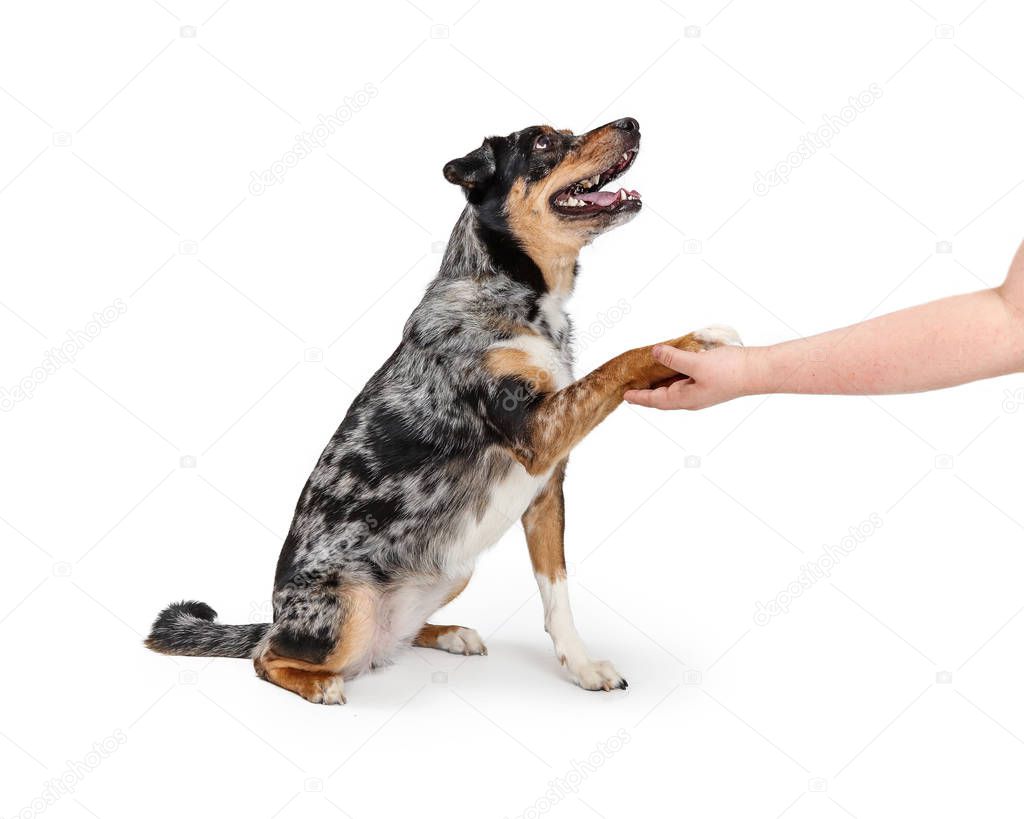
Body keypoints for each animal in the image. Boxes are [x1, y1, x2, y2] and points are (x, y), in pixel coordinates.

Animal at [144, 115, 741, 704]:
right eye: (543, 141)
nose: (633, 122)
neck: (517, 294)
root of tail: (276, 616)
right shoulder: (539, 429)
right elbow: (624, 360)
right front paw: (697, 340)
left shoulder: (545, 488)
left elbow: (558, 595)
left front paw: (582, 666)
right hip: (349, 607)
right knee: (266, 656)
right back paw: (320, 684)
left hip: (453, 567)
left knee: (396, 641)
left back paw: (449, 633)